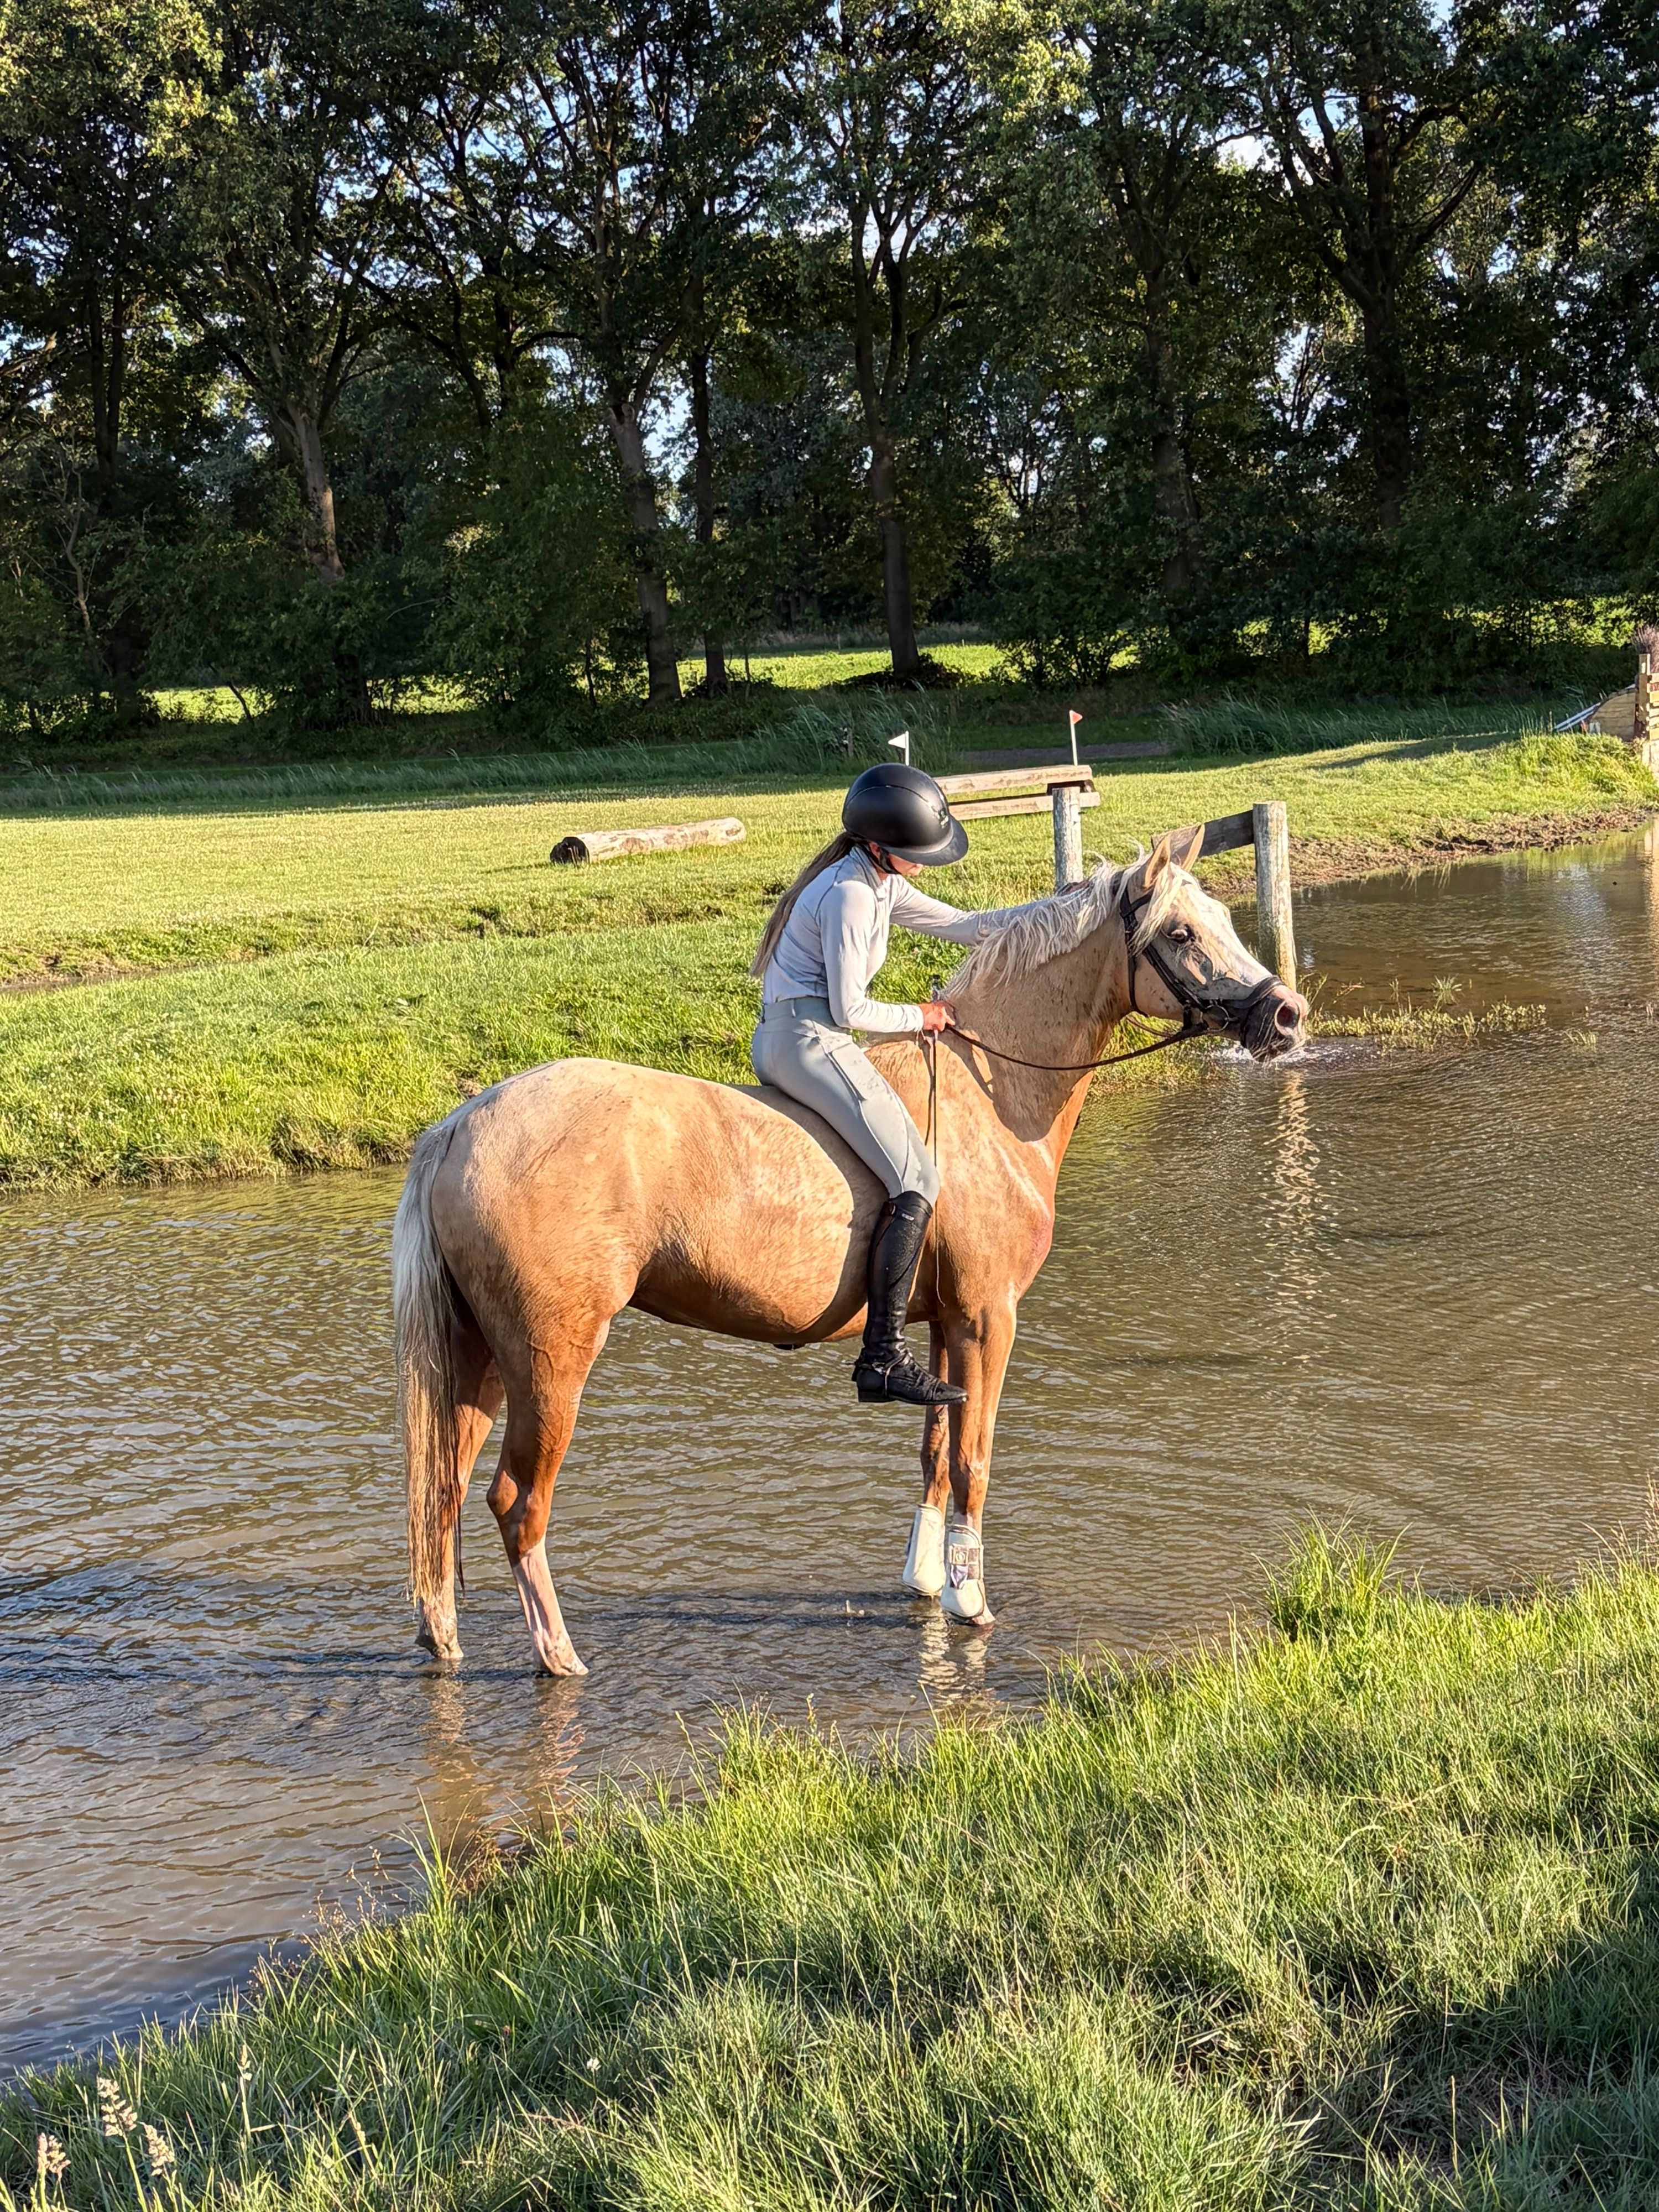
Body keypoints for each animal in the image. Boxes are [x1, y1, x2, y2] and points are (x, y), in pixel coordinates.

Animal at [392, 828, 1307, 1674]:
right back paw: (559, 1656)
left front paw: (929, 1583)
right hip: (551, 1358)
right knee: (517, 1502)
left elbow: (935, 1454)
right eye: (1182, 933)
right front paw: (973, 1602)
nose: (1287, 1016)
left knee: (444, 1491)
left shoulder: (939, 1325)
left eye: (1224, 918)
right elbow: (973, 1460)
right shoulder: (988, 1319)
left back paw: (444, 1641)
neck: (988, 1097)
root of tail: (459, 1127)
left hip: (481, 1358)